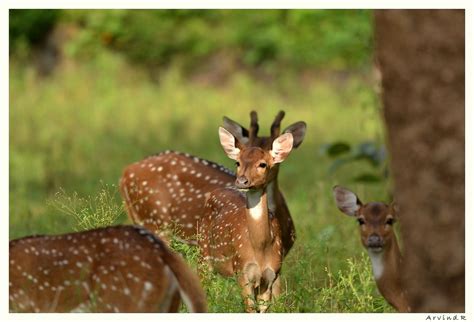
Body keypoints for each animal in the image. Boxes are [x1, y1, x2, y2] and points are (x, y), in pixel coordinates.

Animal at [197, 126, 294, 312]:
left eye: (263, 164)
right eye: (238, 163)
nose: (242, 181)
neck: (260, 247)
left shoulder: (271, 275)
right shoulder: (242, 271)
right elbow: (249, 309)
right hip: (203, 254)